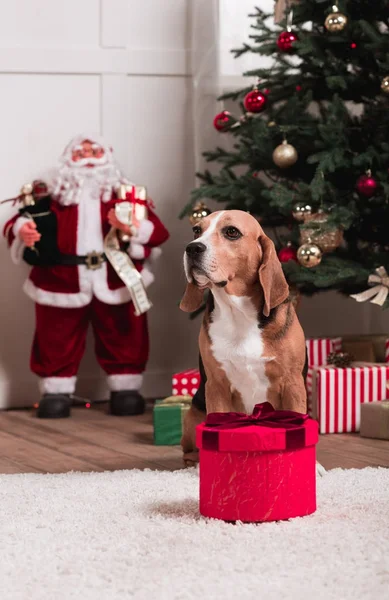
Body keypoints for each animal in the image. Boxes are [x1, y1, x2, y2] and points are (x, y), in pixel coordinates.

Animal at [180, 210, 308, 464]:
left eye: (232, 232)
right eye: (196, 230)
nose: (192, 248)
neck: (237, 313)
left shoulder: (293, 384)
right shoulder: (216, 386)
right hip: (193, 414)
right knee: (188, 450)